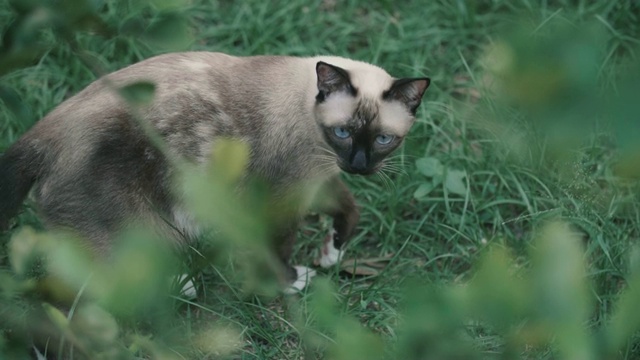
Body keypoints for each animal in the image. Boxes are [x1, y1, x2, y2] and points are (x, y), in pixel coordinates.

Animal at [1, 51, 430, 292]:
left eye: (383, 139)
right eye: (343, 132)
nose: (359, 165)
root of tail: (41, 134)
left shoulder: (317, 181)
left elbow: (349, 208)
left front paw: (331, 252)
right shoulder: (284, 197)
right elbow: (280, 249)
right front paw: (292, 281)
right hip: (138, 230)